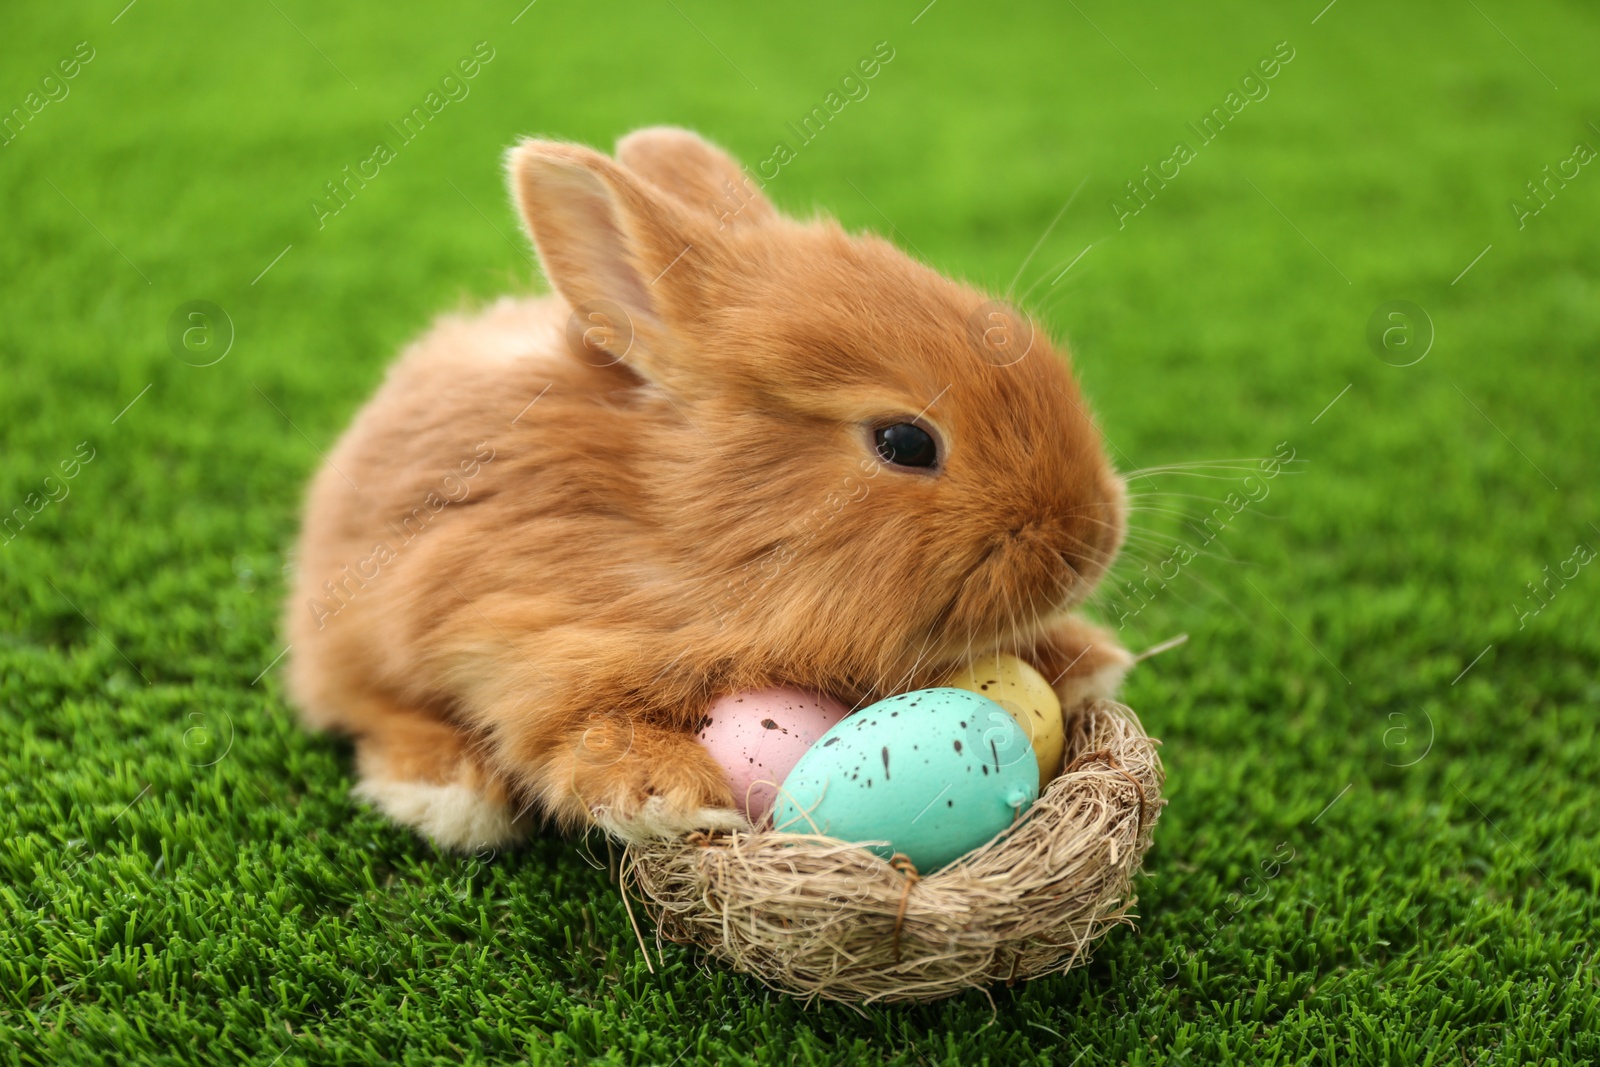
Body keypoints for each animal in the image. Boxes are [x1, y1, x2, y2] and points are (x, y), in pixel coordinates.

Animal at [288, 127, 1139, 851]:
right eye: (905, 443)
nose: (1095, 540)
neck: (697, 530)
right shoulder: (516, 634)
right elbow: (581, 729)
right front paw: (674, 798)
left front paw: (1087, 657)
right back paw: (450, 793)